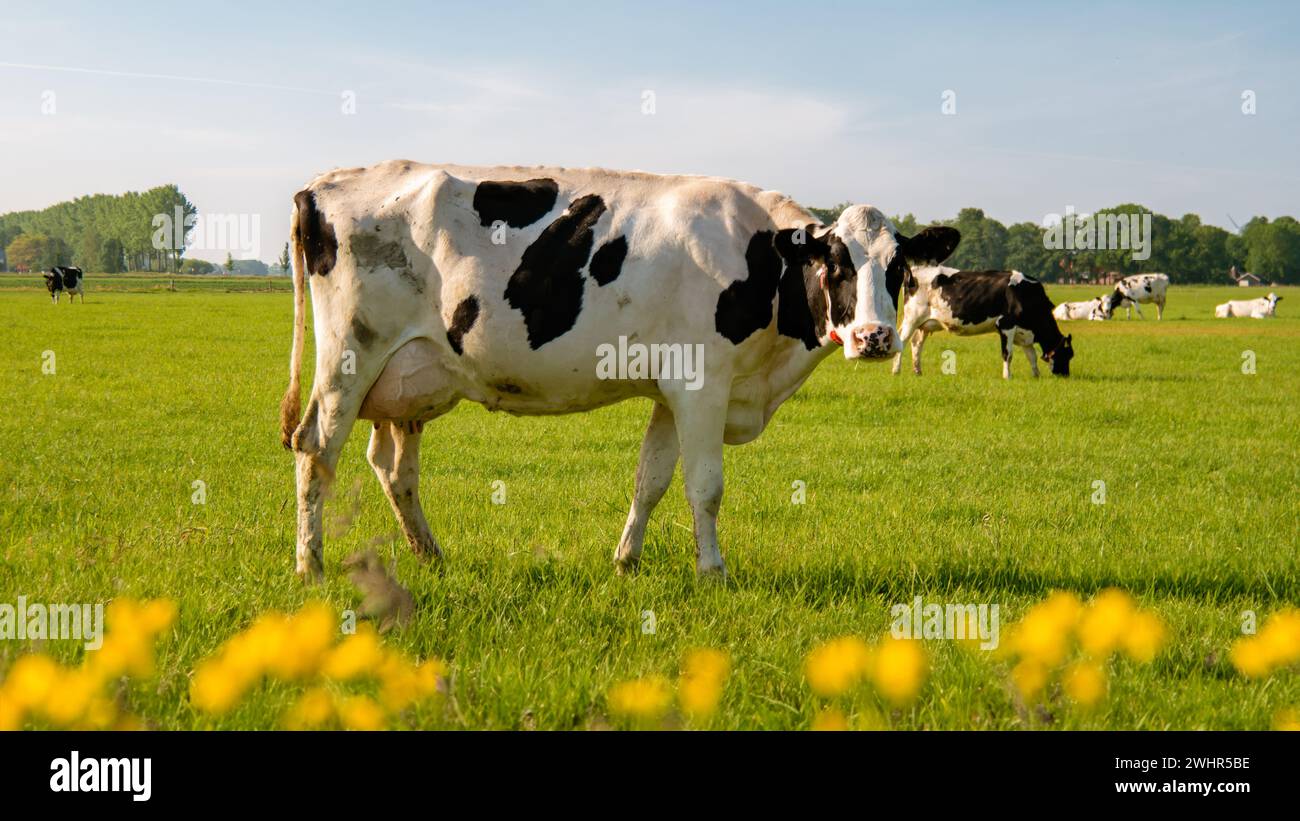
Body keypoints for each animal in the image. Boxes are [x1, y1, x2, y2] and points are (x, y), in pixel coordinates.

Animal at [889, 268, 1071, 379]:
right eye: (1067, 354)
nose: (1066, 375)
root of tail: (912, 272)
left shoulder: (1024, 333)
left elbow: (1031, 356)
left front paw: (1036, 375)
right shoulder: (1006, 325)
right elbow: (1008, 354)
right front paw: (1007, 376)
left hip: (925, 323)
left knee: (916, 344)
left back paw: (918, 371)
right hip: (912, 318)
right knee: (902, 342)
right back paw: (896, 371)